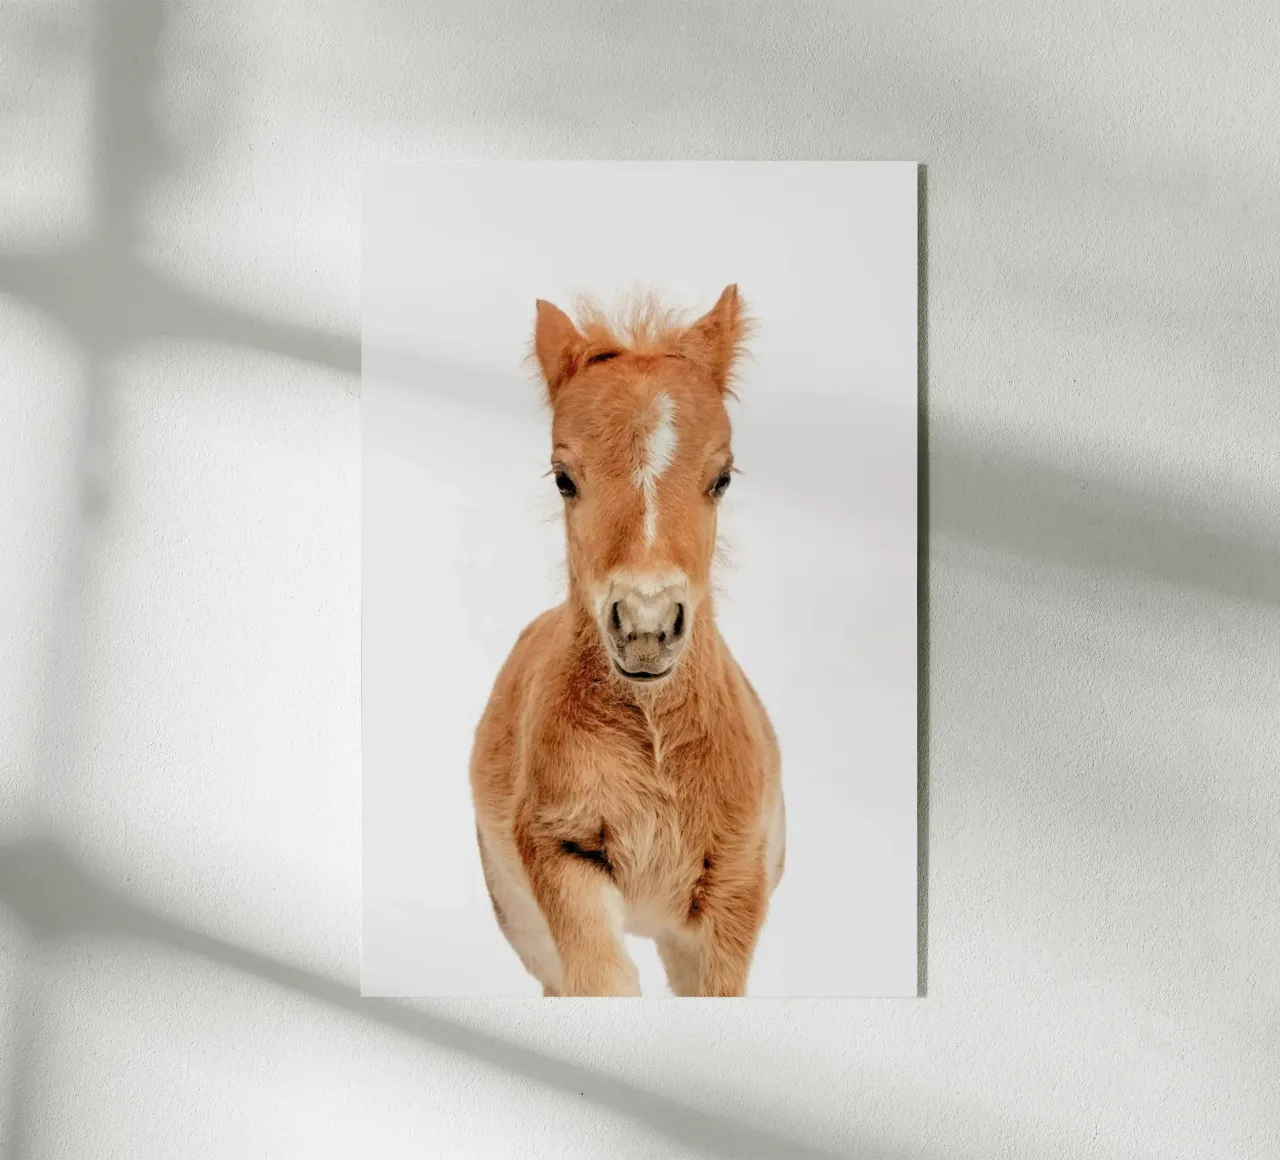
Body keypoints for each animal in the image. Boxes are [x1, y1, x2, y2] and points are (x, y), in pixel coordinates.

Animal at [469, 284, 785, 997]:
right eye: (564, 477)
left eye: (722, 477)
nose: (645, 627)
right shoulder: (560, 853)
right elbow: (602, 982)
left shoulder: (735, 890)